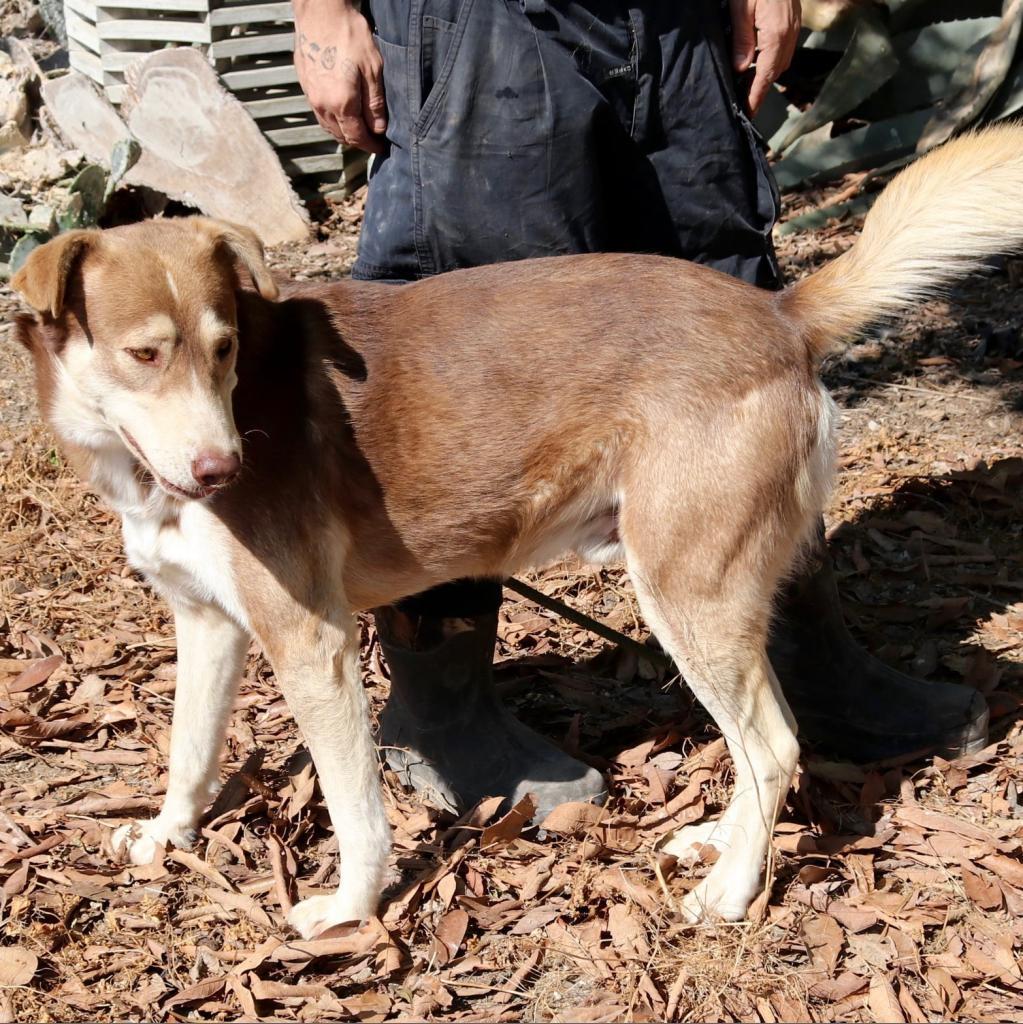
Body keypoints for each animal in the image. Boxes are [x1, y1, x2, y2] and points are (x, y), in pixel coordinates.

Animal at [12, 123, 1023, 933]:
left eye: (223, 349)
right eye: (146, 354)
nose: (224, 470)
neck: (142, 471)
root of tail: (779, 313)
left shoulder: (311, 641)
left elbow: (354, 807)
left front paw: (350, 909)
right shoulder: (209, 626)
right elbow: (188, 753)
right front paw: (164, 837)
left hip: (684, 592)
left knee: (773, 744)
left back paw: (733, 894)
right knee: (762, 741)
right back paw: (719, 842)